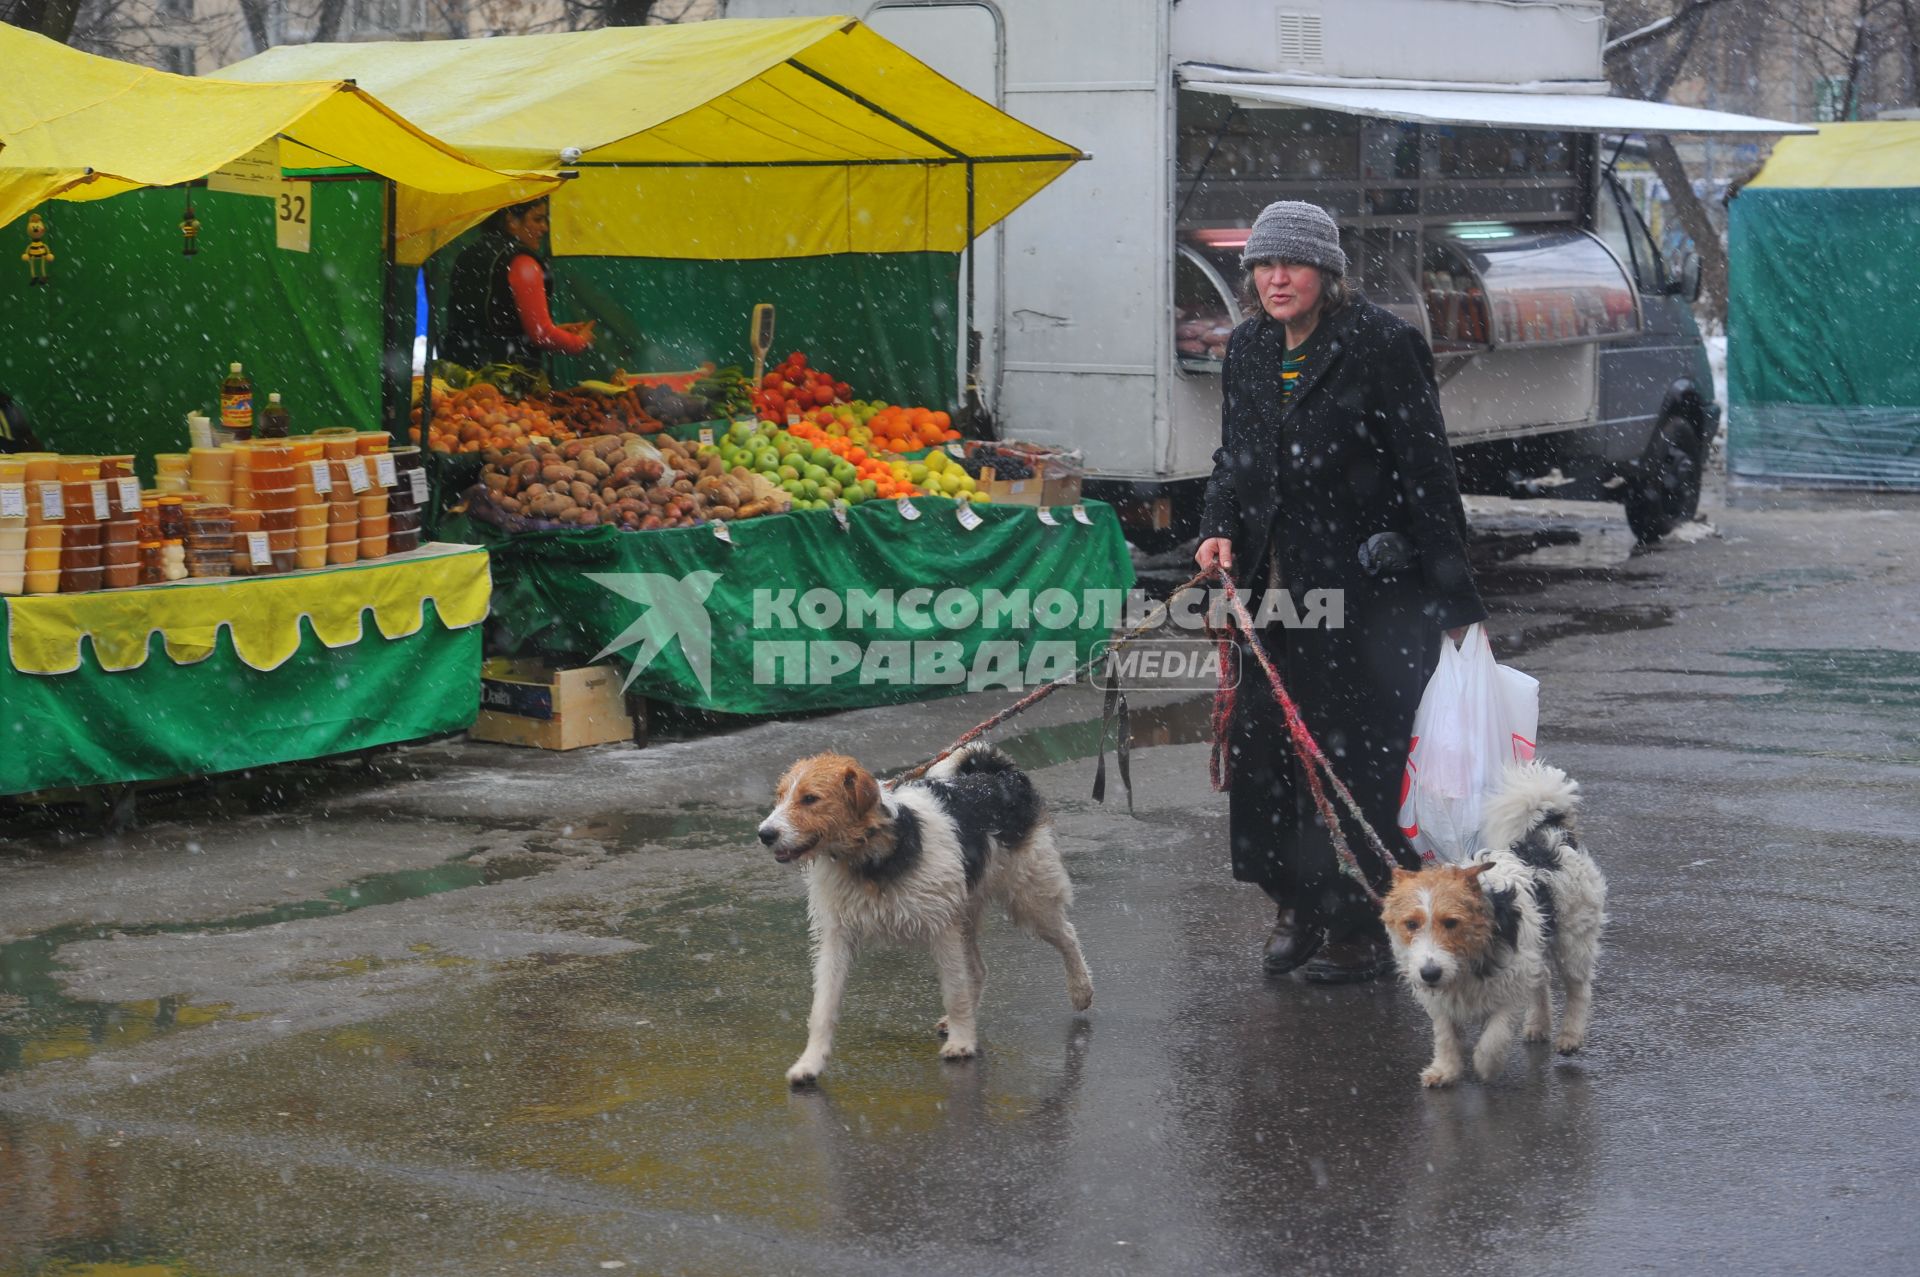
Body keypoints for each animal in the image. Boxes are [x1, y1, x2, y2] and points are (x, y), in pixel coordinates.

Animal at [760, 741, 1105, 1083]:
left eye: (810, 798)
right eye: (780, 796)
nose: (765, 834)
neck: (874, 854)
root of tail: (1000, 775)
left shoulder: (942, 928)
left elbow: (954, 990)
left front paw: (962, 1042)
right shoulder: (836, 936)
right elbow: (823, 1006)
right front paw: (809, 1062)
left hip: (1030, 897)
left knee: (1067, 936)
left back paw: (1081, 990)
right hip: (968, 912)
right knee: (978, 969)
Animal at [1382, 760, 1605, 1083]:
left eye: (1451, 922)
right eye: (1411, 924)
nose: (1430, 973)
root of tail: (1552, 835)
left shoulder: (1511, 983)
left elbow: (1495, 1034)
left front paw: (1486, 1065)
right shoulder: (1441, 1001)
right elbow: (1445, 1034)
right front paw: (1445, 1069)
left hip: (1573, 940)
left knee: (1578, 989)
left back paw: (1570, 1035)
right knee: (1542, 980)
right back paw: (1538, 1025)